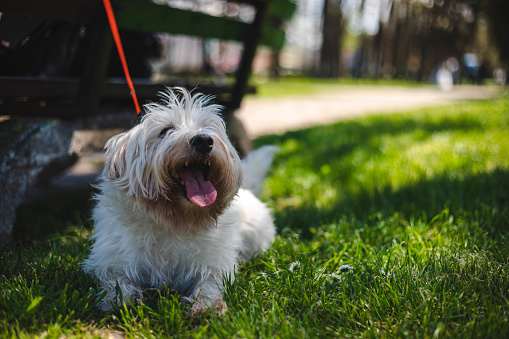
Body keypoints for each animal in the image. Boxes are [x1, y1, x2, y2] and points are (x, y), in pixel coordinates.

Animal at [82, 88, 278, 316]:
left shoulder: (214, 262)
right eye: (165, 130)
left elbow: (209, 283)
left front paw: (206, 305)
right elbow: (117, 280)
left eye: (207, 127)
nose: (203, 140)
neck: (174, 220)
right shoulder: (112, 259)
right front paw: (120, 300)